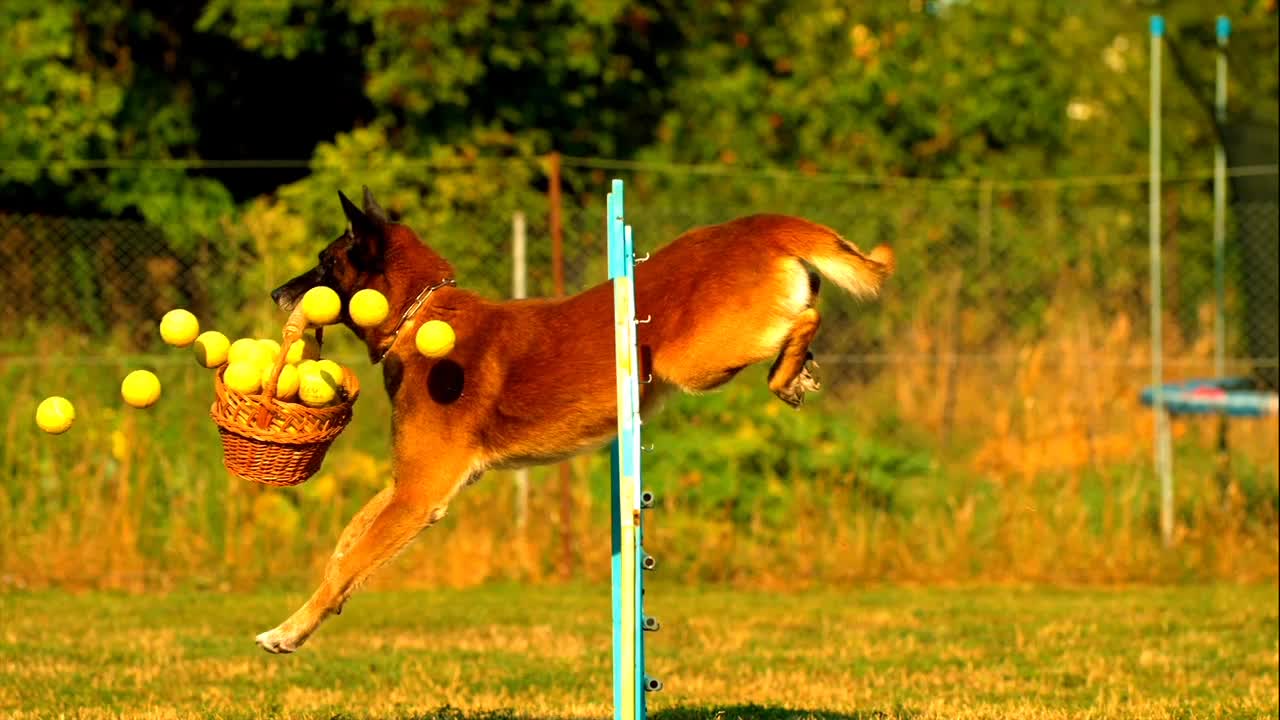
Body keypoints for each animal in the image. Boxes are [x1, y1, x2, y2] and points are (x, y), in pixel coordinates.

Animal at [249, 185, 890, 655]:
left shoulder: (418, 496)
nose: (276, 292)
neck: (419, 313)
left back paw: (788, 372)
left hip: (698, 359)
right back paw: (797, 371)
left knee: (805, 317)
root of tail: (754, 225)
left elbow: (353, 560)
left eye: (326, 263)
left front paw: (289, 631)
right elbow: (343, 551)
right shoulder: (407, 485)